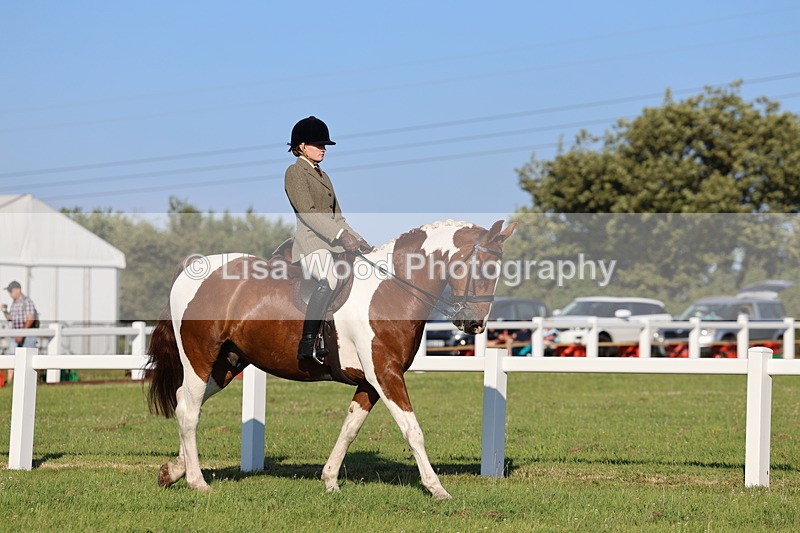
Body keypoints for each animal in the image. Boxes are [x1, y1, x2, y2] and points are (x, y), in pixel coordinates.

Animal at [147, 219, 516, 499]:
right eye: (482, 268)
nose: (475, 325)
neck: (391, 289)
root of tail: (192, 268)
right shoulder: (386, 374)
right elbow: (412, 430)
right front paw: (436, 488)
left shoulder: (371, 381)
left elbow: (349, 429)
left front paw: (329, 480)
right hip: (199, 357)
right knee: (189, 411)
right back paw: (197, 482)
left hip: (226, 365)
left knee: (185, 403)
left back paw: (174, 471)